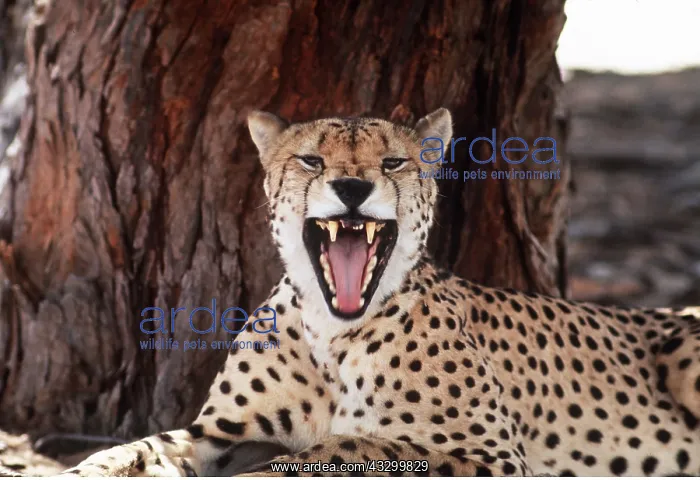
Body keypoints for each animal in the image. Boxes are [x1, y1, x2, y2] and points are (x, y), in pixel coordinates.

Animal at [42, 107, 700, 477]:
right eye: (311, 160)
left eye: (392, 163)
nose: (353, 187)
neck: (334, 330)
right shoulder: (224, 433)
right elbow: (143, 446)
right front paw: (85, 469)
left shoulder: (490, 455)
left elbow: (342, 448)